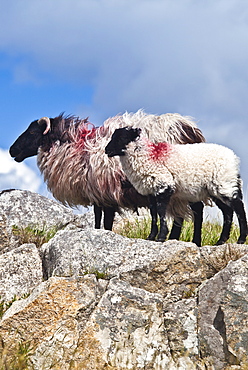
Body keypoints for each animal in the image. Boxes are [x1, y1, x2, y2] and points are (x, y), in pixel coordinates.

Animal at [9, 108, 205, 233]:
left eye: (33, 132)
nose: (12, 150)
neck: (75, 146)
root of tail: (189, 129)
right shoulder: (98, 194)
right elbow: (98, 218)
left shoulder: (107, 192)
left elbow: (107, 220)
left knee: (195, 209)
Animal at [105, 127, 248, 246]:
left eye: (122, 138)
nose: (107, 150)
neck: (149, 156)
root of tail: (234, 159)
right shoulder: (151, 191)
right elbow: (153, 215)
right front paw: (151, 237)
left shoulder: (164, 186)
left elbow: (161, 213)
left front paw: (161, 237)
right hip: (214, 189)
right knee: (227, 211)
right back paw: (221, 241)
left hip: (224, 182)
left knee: (238, 207)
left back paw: (241, 239)